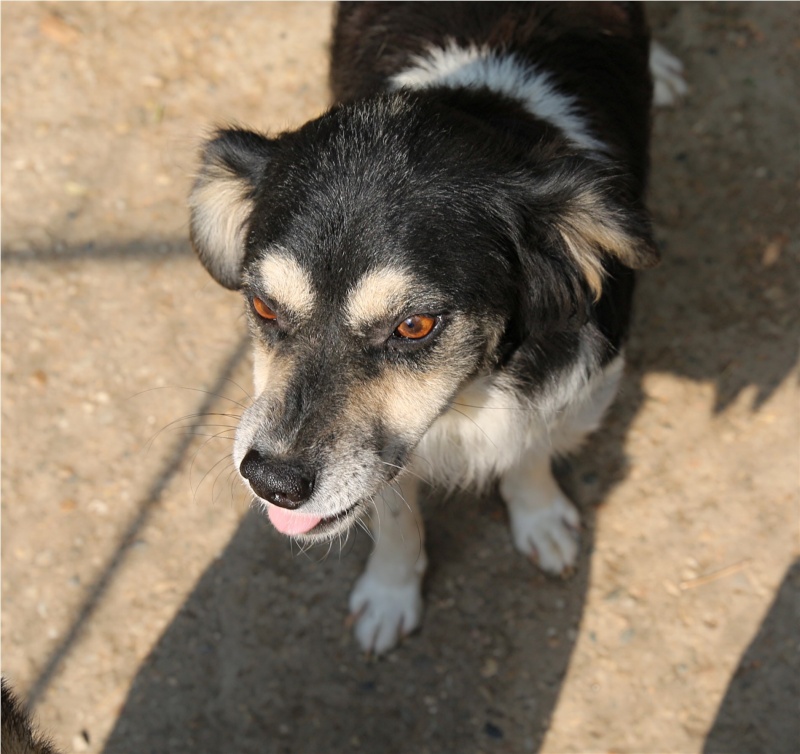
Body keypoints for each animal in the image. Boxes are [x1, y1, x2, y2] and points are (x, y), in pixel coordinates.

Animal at [188, 0, 680, 648]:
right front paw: (391, 592)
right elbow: (396, 511)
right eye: (264, 307)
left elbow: (529, 447)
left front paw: (539, 515)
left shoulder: (579, 384)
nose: (272, 482)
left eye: (416, 326)